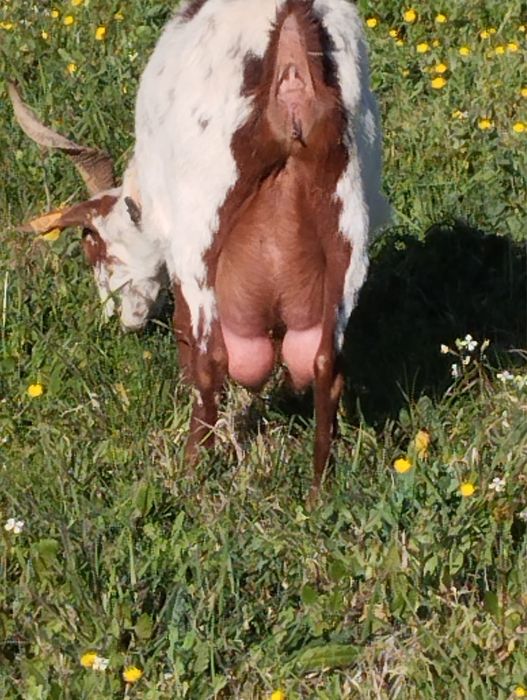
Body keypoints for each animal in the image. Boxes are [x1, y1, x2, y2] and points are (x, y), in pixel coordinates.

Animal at [11, 0, 390, 499]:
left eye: (91, 241)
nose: (121, 318)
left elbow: (184, 332)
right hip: (348, 228)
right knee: (327, 361)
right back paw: (319, 489)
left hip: (203, 230)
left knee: (213, 355)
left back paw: (191, 473)